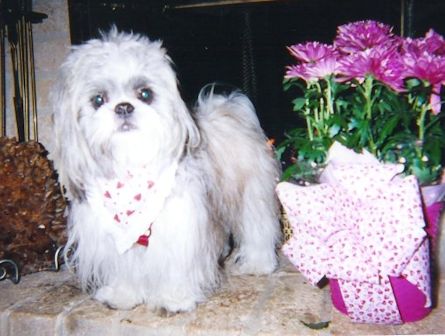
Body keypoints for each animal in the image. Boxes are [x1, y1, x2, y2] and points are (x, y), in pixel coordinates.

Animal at [52, 28, 280, 312]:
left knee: (258, 229)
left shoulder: (181, 228)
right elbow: (125, 269)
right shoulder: (114, 238)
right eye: (98, 100)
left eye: (145, 94)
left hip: (251, 197)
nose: (123, 107)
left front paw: (174, 298)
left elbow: (177, 268)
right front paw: (123, 295)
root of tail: (227, 110)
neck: (131, 168)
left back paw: (257, 264)